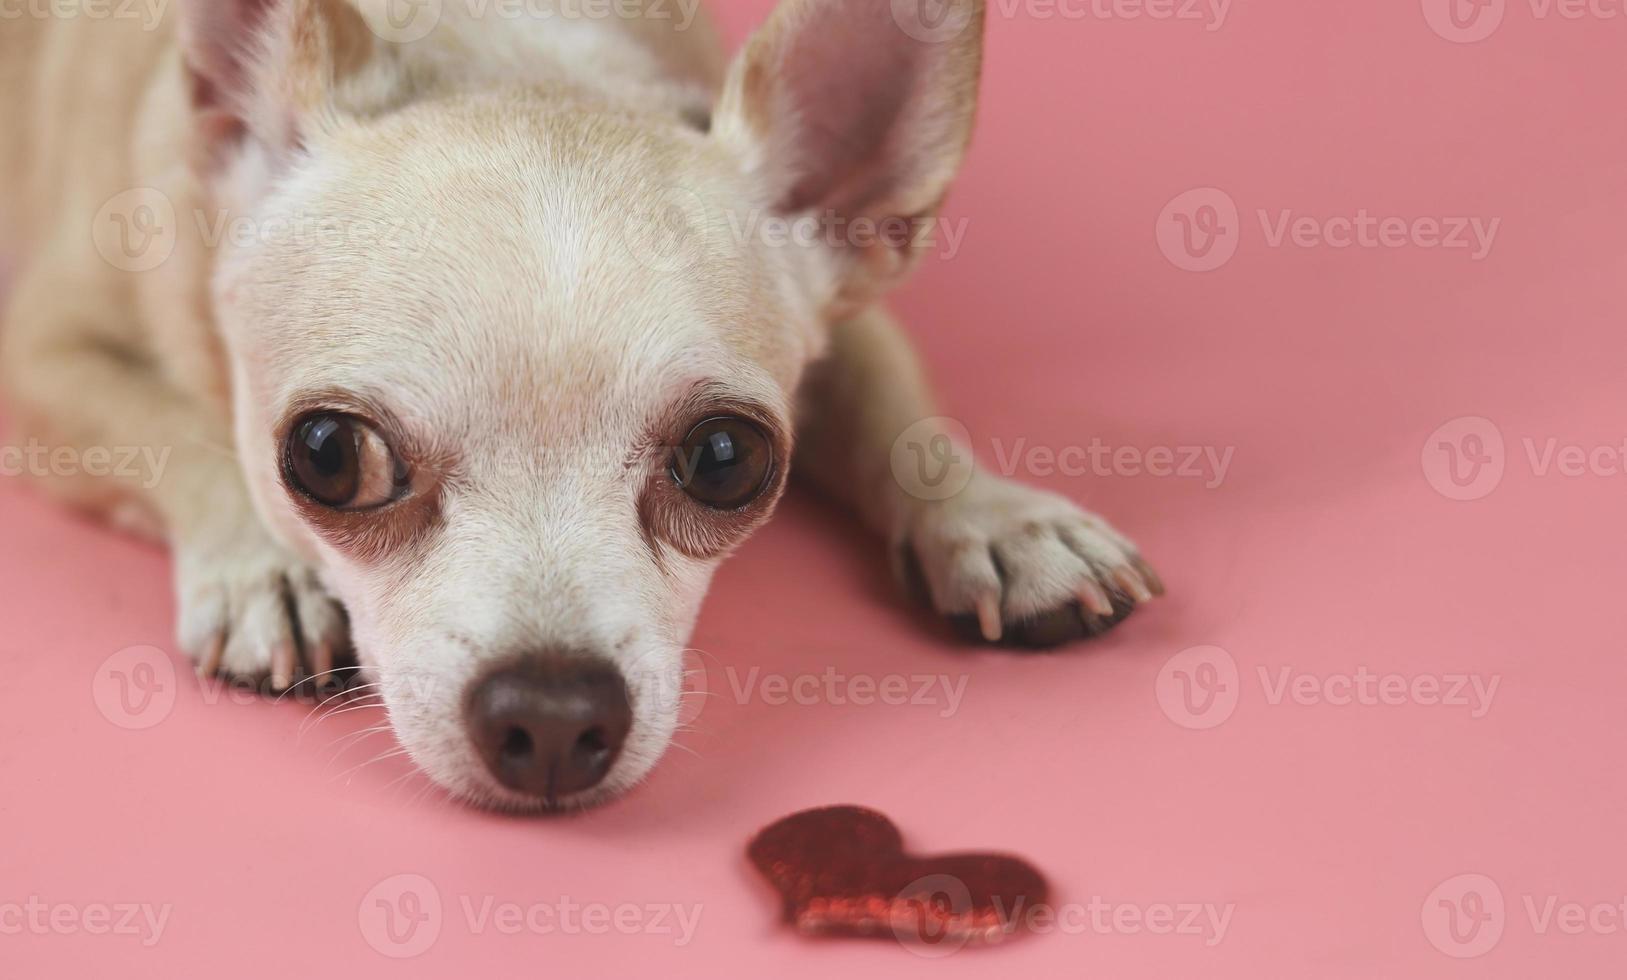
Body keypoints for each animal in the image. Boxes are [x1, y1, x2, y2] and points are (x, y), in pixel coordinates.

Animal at [6, 0, 1164, 807]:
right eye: (328, 455)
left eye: (727, 459)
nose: (553, 718)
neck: (508, 54)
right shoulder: (38, 359)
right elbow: (175, 432)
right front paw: (264, 569)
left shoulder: (844, 317)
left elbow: (900, 415)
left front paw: (999, 523)